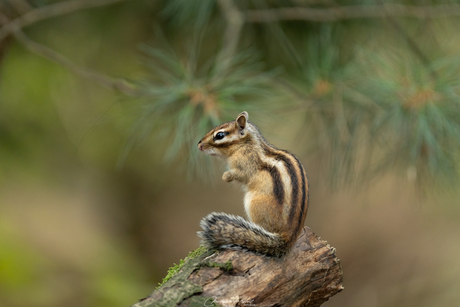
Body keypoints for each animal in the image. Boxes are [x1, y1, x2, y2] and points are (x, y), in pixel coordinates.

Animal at [198, 112, 310, 258]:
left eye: (220, 135)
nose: (199, 145)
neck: (247, 144)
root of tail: (288, 238)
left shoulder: (246, 165)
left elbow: (241, 175)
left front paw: (226, 176)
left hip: (252, 204)